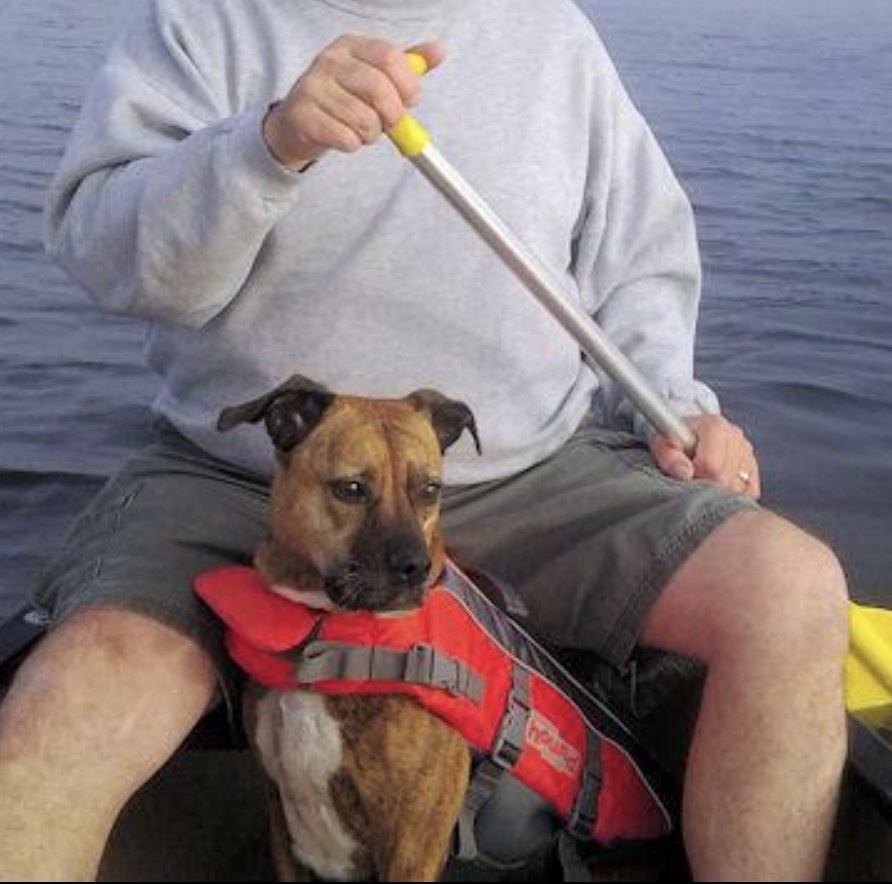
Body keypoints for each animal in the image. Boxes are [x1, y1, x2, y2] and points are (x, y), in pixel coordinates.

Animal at [216, 374, 480, 884]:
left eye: (430, 489)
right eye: (352, 488)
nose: (415, 568)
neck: (328, 632)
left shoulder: (412, 848)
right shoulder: (281, 824)